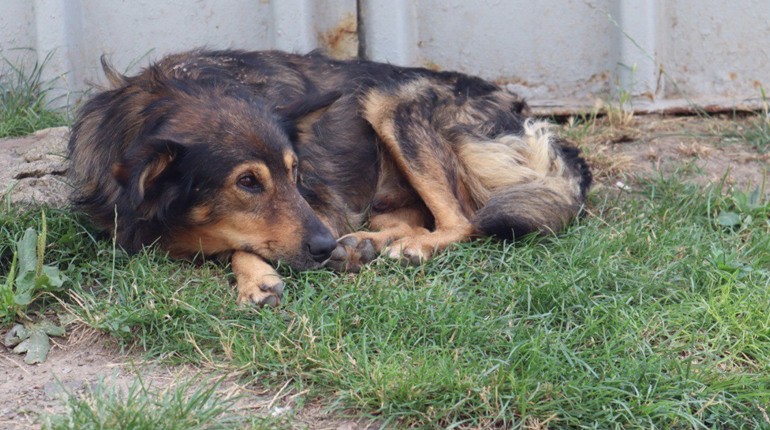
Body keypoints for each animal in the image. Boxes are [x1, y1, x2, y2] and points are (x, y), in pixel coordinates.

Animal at [69, 49, 592, 306]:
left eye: (294, 171)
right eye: (247, 182)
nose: (324, 246)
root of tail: (522, 112)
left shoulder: (322, 202)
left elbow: (240, 242)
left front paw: (255, 277)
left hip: (389, 102)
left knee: (463, 220)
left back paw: (405, 247)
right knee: (409, 218)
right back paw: (366, 244)